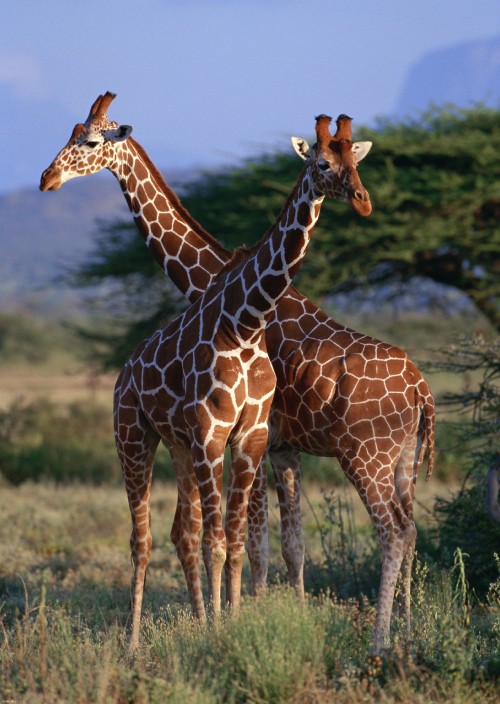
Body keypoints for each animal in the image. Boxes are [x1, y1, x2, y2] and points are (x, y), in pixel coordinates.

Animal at [39, 91, 432, 652]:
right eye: (73, 135)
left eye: (90, 141)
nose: (48, 177)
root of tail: (423, 389)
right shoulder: (275, 445)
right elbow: (282, 544)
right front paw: (273, 617)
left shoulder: (262, 439)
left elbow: (257, 541)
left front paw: (254, 619)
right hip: (401, 460)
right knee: (412, 530)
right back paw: (406, 630)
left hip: (366, 454)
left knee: (393, 531)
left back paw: (381, 640)